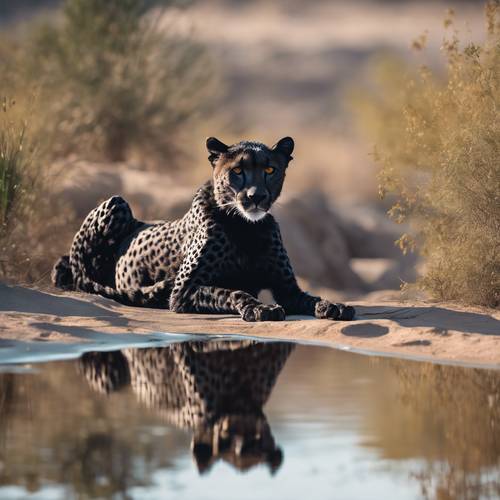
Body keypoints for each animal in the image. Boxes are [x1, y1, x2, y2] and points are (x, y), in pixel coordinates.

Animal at [51, 136, 356, 320]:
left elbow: (309, 297)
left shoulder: (287, 289)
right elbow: (230, 291)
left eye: (270, 170)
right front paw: (260, 307)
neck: (246, 226)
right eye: (237, 171)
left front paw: (332, 305)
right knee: (79, 273)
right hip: (118, 202)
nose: (256, 196)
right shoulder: (184, 291)